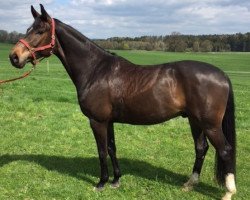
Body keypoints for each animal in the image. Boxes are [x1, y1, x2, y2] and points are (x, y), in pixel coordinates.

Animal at [8, 4, 236, 200]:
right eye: (28, 29)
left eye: (39, 31)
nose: (14, 56)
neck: (95, 70)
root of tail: (222, 75)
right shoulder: (108, 121)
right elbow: (111, 148)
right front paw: (116, 180)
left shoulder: (97, 121)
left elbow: (101, 151)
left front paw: (101, 183)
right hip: (195, 121)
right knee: (201, 148)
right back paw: (189, 184)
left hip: (209, 124)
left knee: (225, 150)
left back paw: (228, 192)